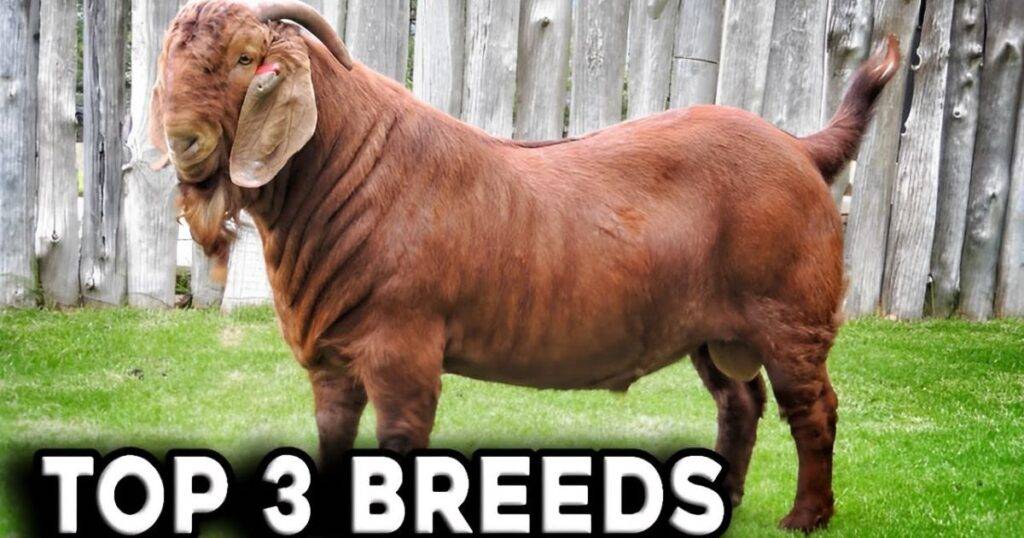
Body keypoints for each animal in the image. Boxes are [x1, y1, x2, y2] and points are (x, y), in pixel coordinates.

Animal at [150, 0, 900, 531]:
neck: (350, 169)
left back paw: (806, 517)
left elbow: (399, 437)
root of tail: (800, 148)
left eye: (247, 58)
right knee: (739, 401)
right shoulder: (333, 356)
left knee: (814, 407)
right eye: (167, 63)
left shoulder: (403, 346)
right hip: (712, 329)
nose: (184, 141)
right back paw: (728, 499)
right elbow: (334, 434)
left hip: (790, 313)